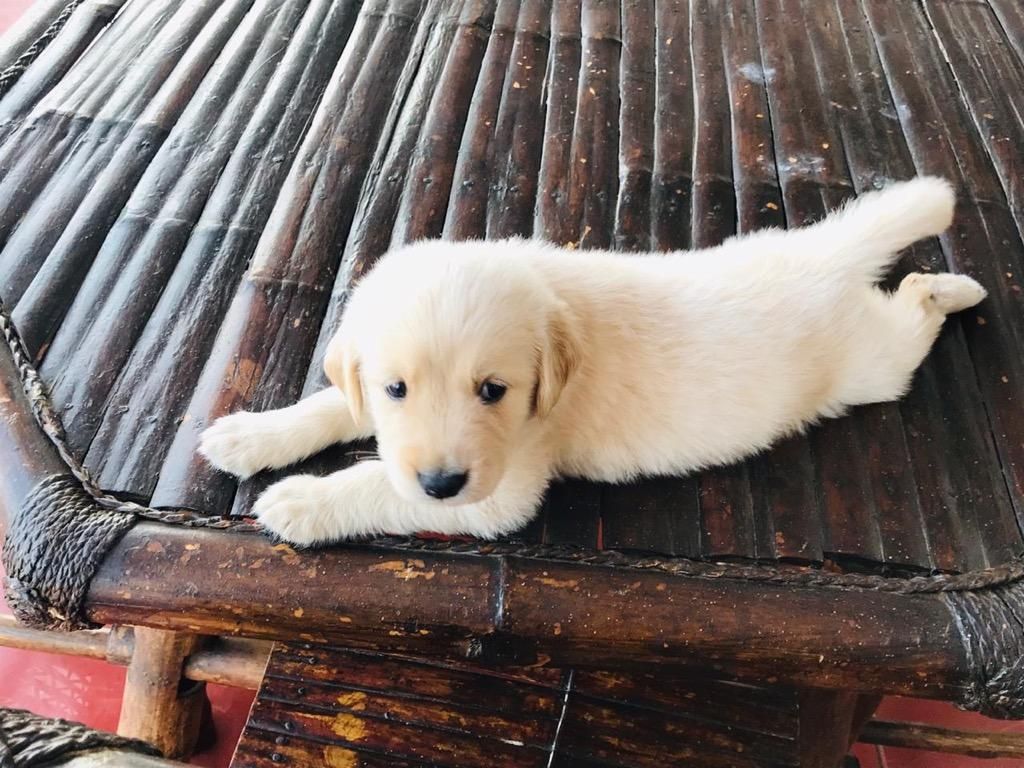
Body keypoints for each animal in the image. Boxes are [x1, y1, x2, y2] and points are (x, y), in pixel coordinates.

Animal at [201, 177, 983, 544]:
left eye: (494, 391)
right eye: (395, 389)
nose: (443, 482)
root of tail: (824, 255)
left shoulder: (503, 492)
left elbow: (380, 486)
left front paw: (304, 501)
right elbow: (332, 404)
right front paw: (253, 435)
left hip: (872, 362)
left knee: (910, 317)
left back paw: (946, 288)